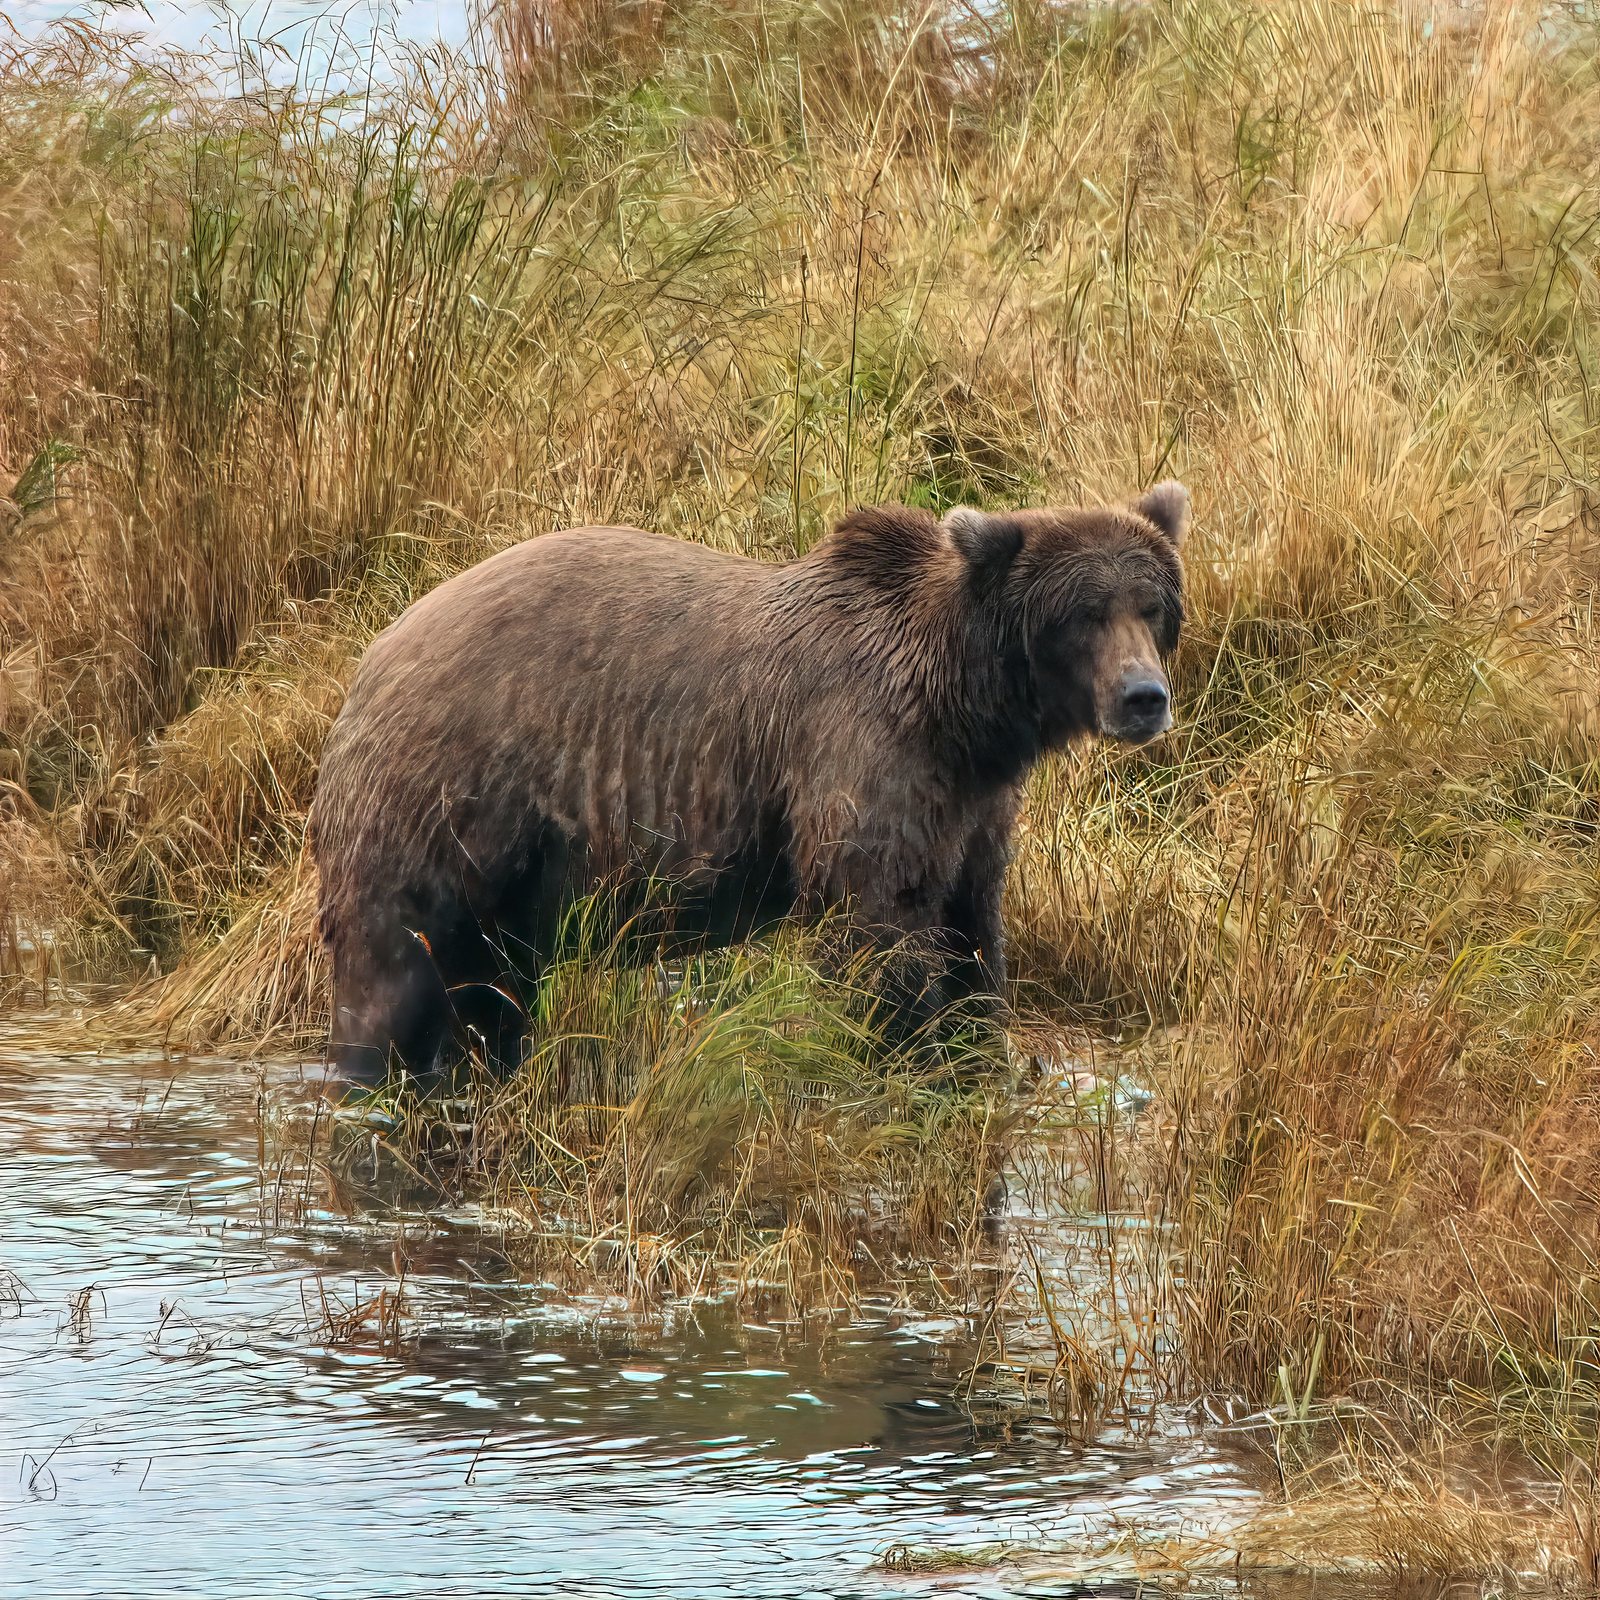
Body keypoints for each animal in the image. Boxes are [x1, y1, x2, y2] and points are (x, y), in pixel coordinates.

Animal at [308, 484, 1189, 1084]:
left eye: (1151, 605)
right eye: (1083, 613)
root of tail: (372, 655)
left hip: (510, 868)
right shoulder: (858, 756)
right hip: (444, 799)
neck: (961, 706)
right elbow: (877, 931)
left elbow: (973, 927)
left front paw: (974, 1052)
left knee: (493, 989)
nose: (1144, 697)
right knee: (394, 972)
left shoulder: (971, 805)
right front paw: (897, 1060)